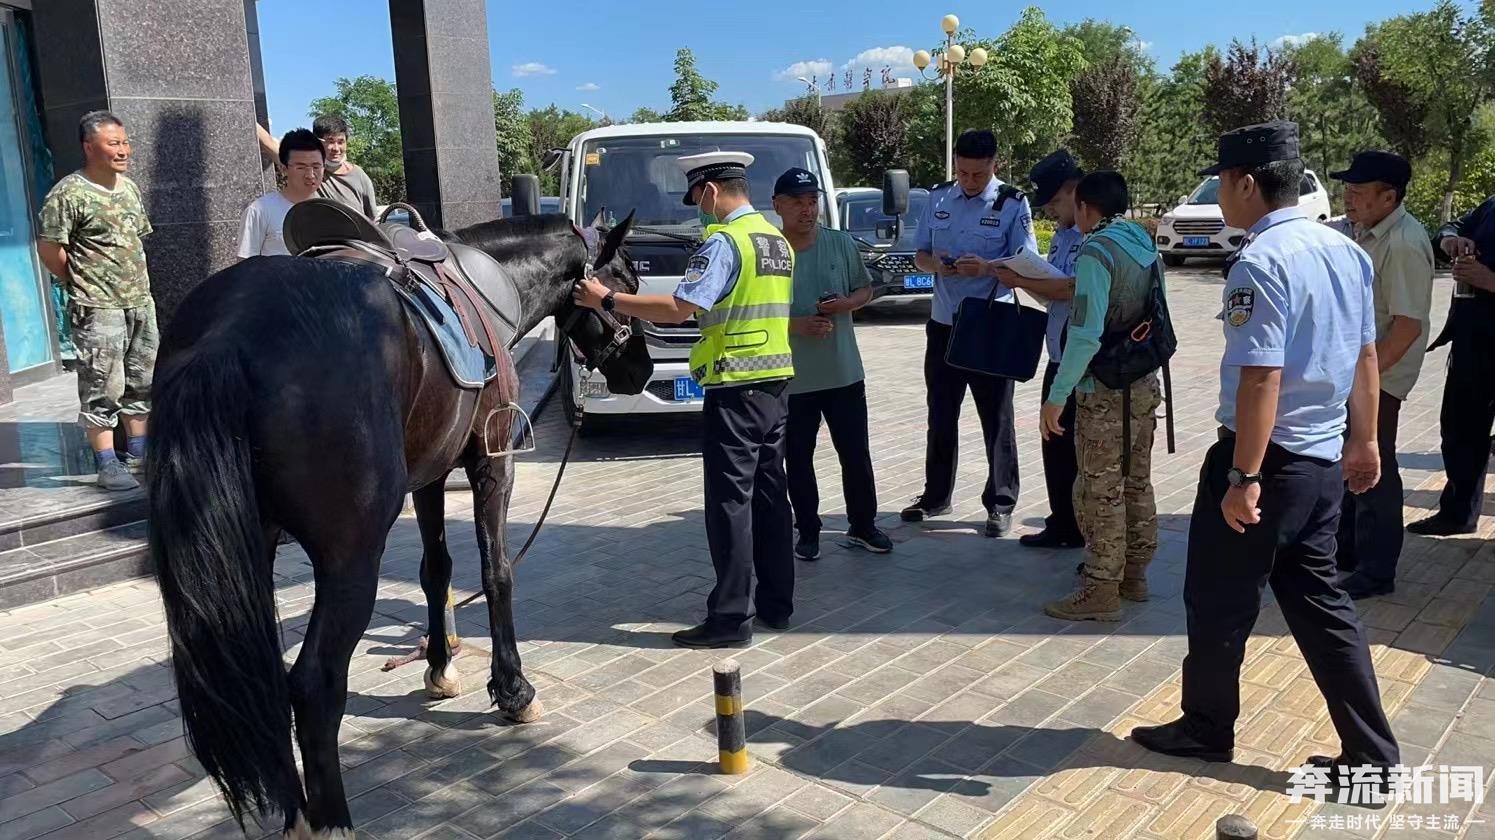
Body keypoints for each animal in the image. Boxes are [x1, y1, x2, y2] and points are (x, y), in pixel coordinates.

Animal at [144, 212, 648, 831]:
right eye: (625, 283)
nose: (643, 367)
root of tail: (226, 335)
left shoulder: (429, 476)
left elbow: (437, 572)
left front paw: (439, 669)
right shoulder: (491, 463)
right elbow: (496, 573)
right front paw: (513, 690)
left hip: (248, 548)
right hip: (351, 557)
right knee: (314, 686)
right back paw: (330, 821)